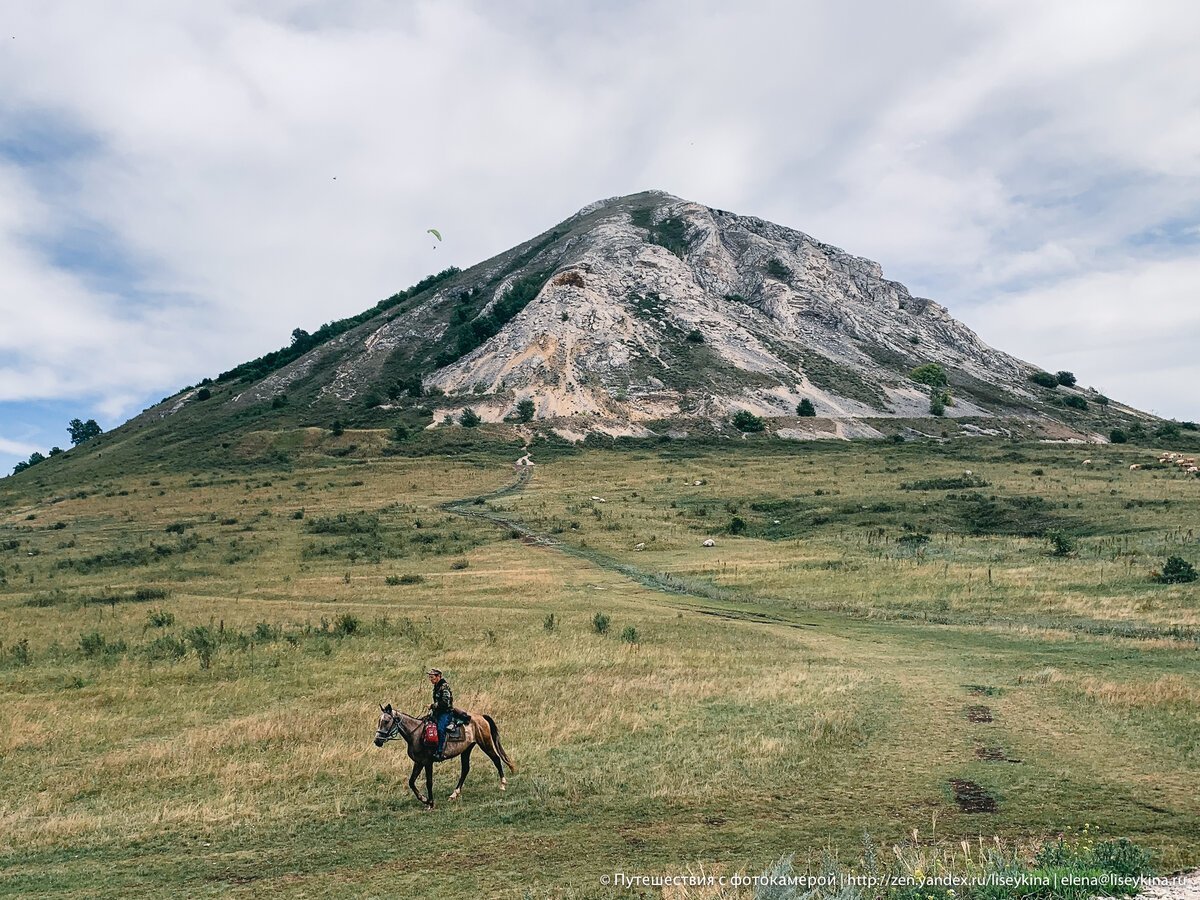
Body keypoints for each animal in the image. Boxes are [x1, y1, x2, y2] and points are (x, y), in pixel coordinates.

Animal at [369, 705, 511, 811]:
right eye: (379, 721)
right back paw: (454, 794)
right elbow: (411, 782)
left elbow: (429, 782)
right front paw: (424, 799)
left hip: (485, 743)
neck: (416, 734)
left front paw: (431, 803)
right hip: (466, 750)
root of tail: (481, 716)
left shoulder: (427, 762)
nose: (377, 741)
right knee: (465, 769)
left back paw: (503, 784)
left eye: (386, 721)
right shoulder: (418, 762)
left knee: (496, 759)